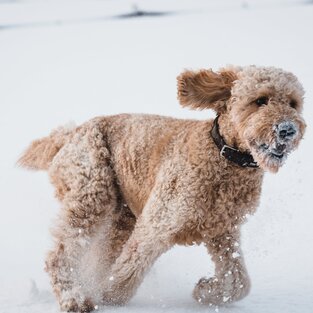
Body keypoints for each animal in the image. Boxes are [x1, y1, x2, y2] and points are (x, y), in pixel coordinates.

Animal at [18, 65, 304, 310]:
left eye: (293, 103)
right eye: (260, 100)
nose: (287, 129)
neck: (223, 156)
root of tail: (69, 134)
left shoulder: (223, 232)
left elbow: (239, 282)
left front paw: (206, 291)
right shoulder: (158, 222)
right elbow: (127, 272)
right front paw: (106, 296)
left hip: (121, 217)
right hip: (93, 192)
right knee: (59, 255)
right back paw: (75, 299)